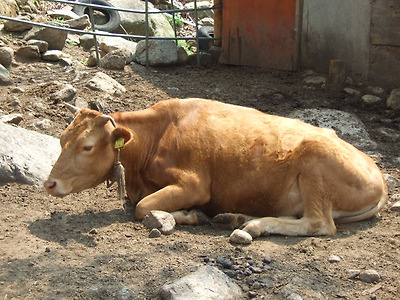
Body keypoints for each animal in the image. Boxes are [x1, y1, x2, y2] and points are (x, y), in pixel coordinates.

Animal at [43, 98, 388, 244]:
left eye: (87, 146)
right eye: (61, 139)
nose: (50, 184)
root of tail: (379, 176)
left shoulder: (194, 184)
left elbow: (143, 207)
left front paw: (190, 215)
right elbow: (139, 203)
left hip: (315, 164)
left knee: (319, 224)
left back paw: (254, 225)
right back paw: (235, 217)